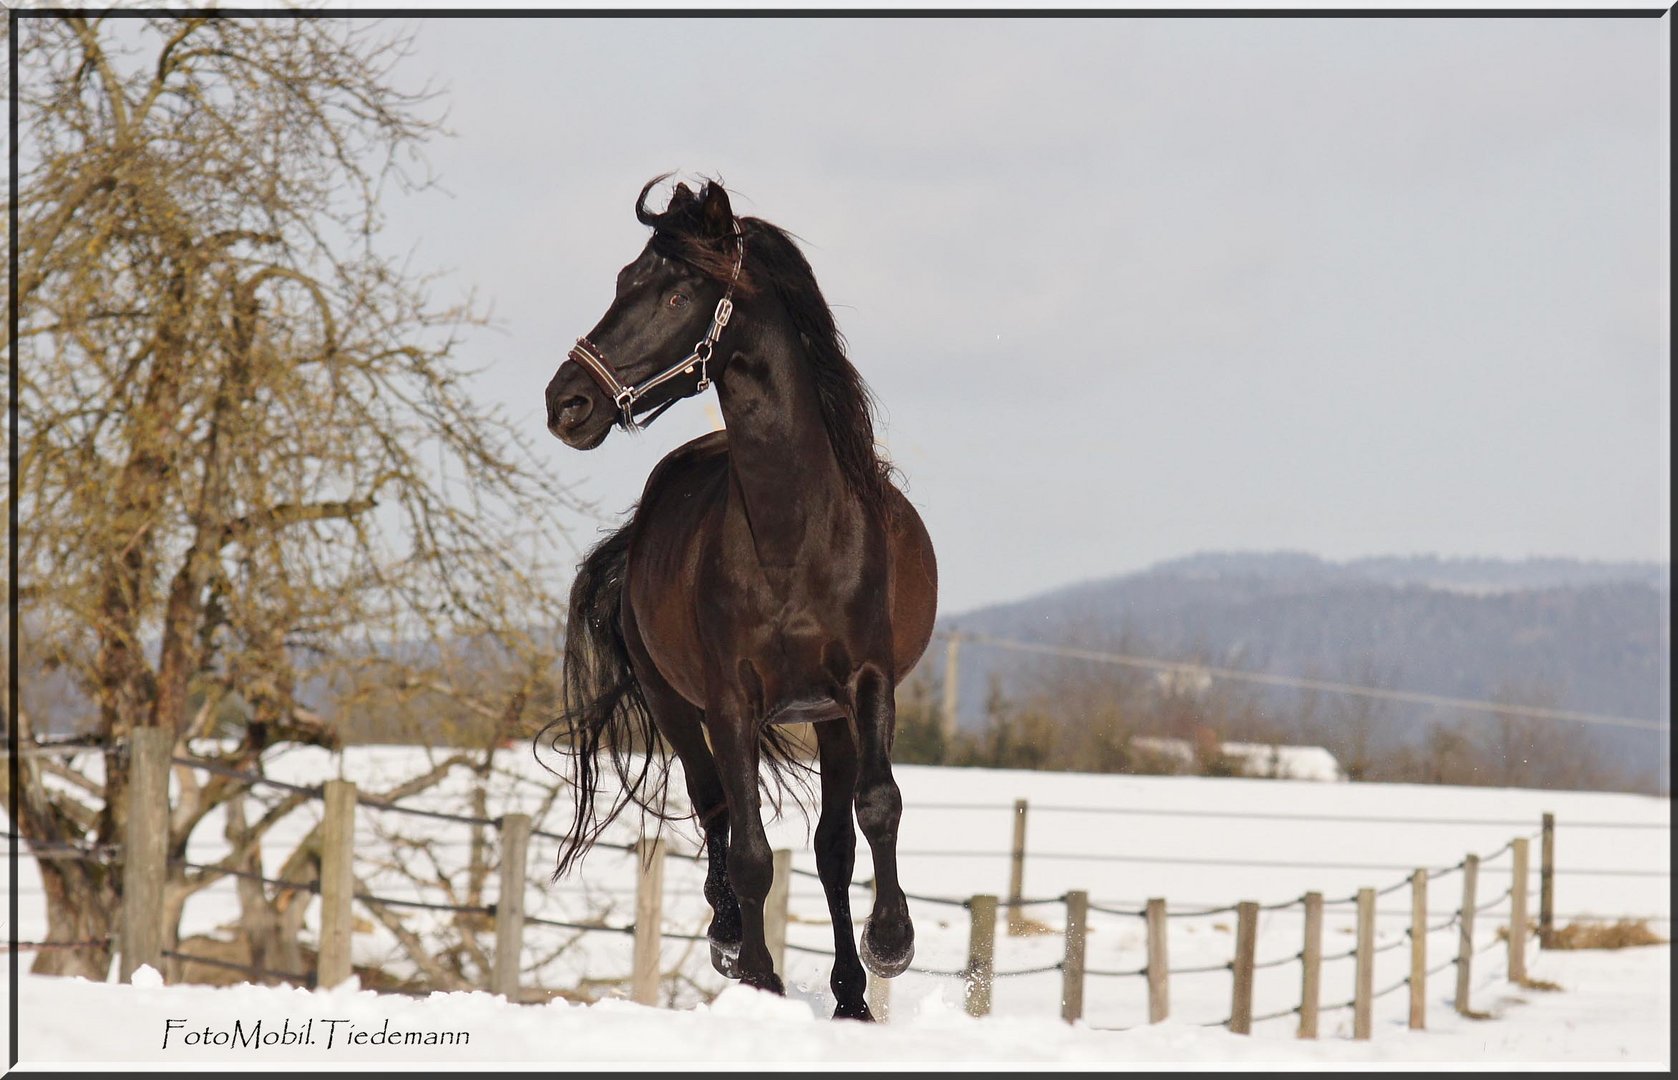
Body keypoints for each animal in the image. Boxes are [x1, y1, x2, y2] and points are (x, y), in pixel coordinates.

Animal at [550, 179, 946, 1019]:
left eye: (674, 292)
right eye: (623, 282)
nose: (565, 404)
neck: (795, 532)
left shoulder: (866, 685)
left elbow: (877, 807)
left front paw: (891, 946)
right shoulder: (730, 702)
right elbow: (753, 848)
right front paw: (759, 976)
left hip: (826, 717)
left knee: (832, 847)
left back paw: (851, 995)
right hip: (674, 705)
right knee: (714, 808)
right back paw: (730, 937)